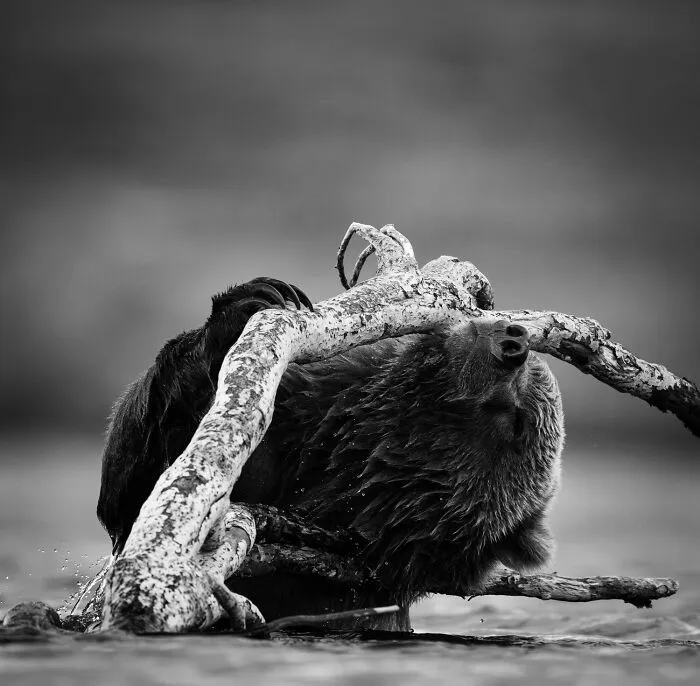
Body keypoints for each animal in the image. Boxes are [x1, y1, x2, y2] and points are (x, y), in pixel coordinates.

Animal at [97, 277, 564, 631]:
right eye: (534, 377)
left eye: (519, 421)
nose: (515, 342)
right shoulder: (298, 413)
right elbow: (128, 486)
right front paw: (250, 302)